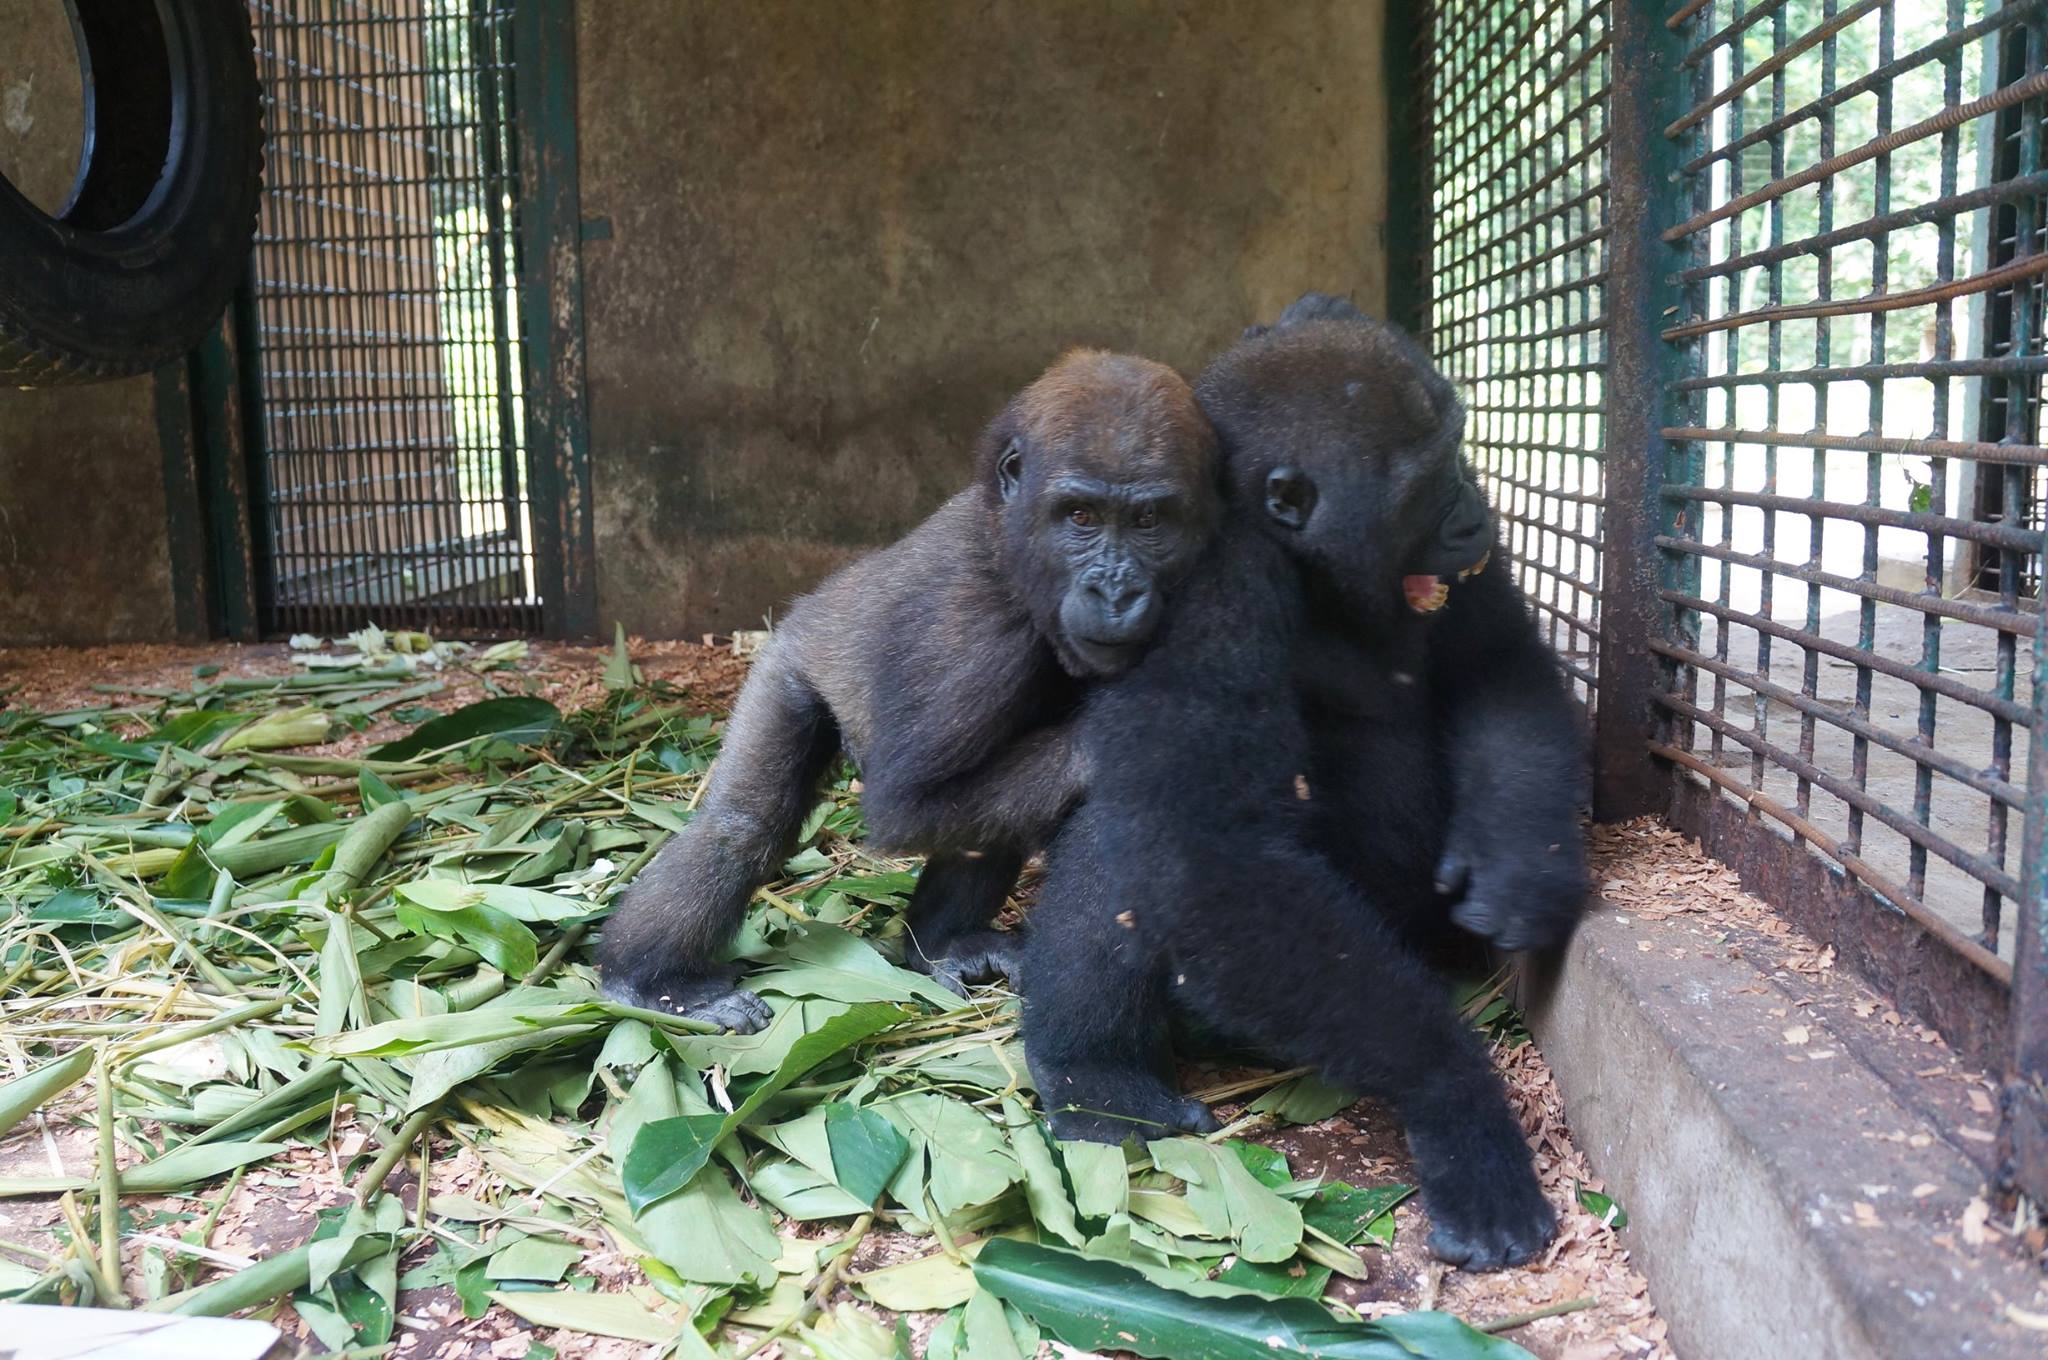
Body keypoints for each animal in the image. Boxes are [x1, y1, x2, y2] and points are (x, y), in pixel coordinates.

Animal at [598, 351, 1221, 1033]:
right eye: (1080, 516)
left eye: (1148, 520)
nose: (1116, 592)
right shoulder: (971, 632)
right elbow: (909, 803)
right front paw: (1117, 742)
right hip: (788, 665)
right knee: (743, 827)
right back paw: (647, 982)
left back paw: (941, 945)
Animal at [1020, 307, 1582, 1269]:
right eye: (1429, 482)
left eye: (1460, 457)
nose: (1478, 514)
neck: (1300, 557)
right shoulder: (1210, 587)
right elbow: (1214, 862)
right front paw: (1457, 1099)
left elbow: (1497, 662)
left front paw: (1524, 861)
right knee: (1130, 845)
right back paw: (1095, 1074)